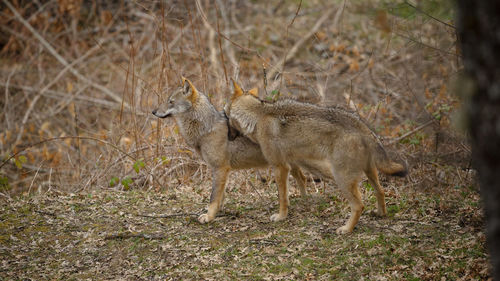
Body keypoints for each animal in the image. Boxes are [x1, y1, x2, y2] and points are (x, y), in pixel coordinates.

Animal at [152, 77, 308, 223]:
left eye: (170, 101)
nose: (153, 111)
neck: (206, 129)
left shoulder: (220, 168)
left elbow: (213, 197)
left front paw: (209, 217)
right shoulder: (221, 170)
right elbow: (220, 197)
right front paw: (217, 212)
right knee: (302, 178)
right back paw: (304, 201)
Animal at [227, 80, 406, 233]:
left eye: (225, 115)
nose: (228, 137)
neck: (258, 116)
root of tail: (362, 126)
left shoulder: (280, 166)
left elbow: (282, 197)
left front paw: (281, 216)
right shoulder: (291, 162)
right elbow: (299, 184)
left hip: (341, 178)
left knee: (359, 205)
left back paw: (346, 229)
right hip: (369, 172)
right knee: (380, 191)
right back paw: (380, 214)